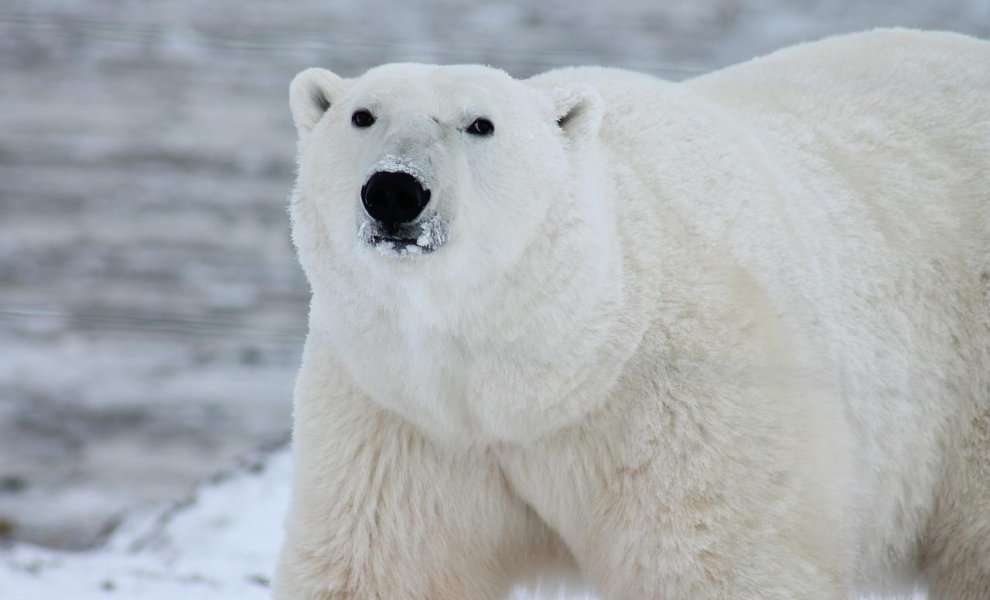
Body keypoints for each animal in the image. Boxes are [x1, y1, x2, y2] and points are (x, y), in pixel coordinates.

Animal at [274, 29, 990, 600]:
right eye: (362, 114)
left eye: (480, 124)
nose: (395, 190)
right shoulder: (401, 416)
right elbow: (382, 566)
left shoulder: (688, 402)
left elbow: (718, 563)